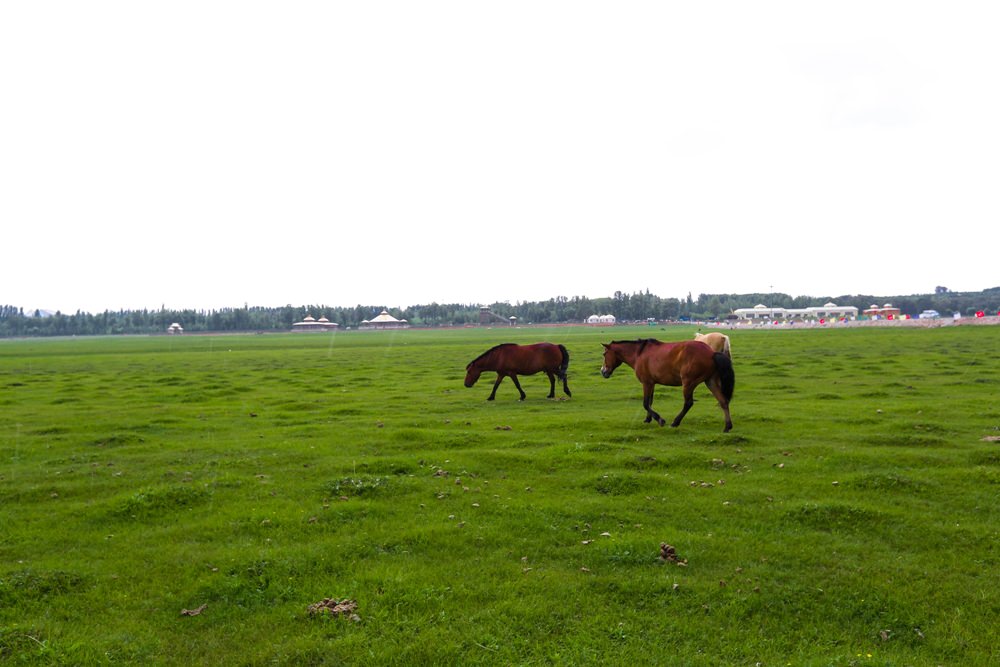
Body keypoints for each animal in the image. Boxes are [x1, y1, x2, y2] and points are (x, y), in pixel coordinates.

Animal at [600, 340, 736, 434]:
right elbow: (650, 402)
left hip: (688, 383)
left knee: (688, 403)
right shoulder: (652, 383)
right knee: (723, 401)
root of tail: (711, 353)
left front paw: (660, 420)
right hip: (710, 382)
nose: (603, 371)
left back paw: (675, 422)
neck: (638, 354)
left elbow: (645, 403)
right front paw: (648, 419)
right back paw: (727, 427)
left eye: (604, 354)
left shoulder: (646, 383)